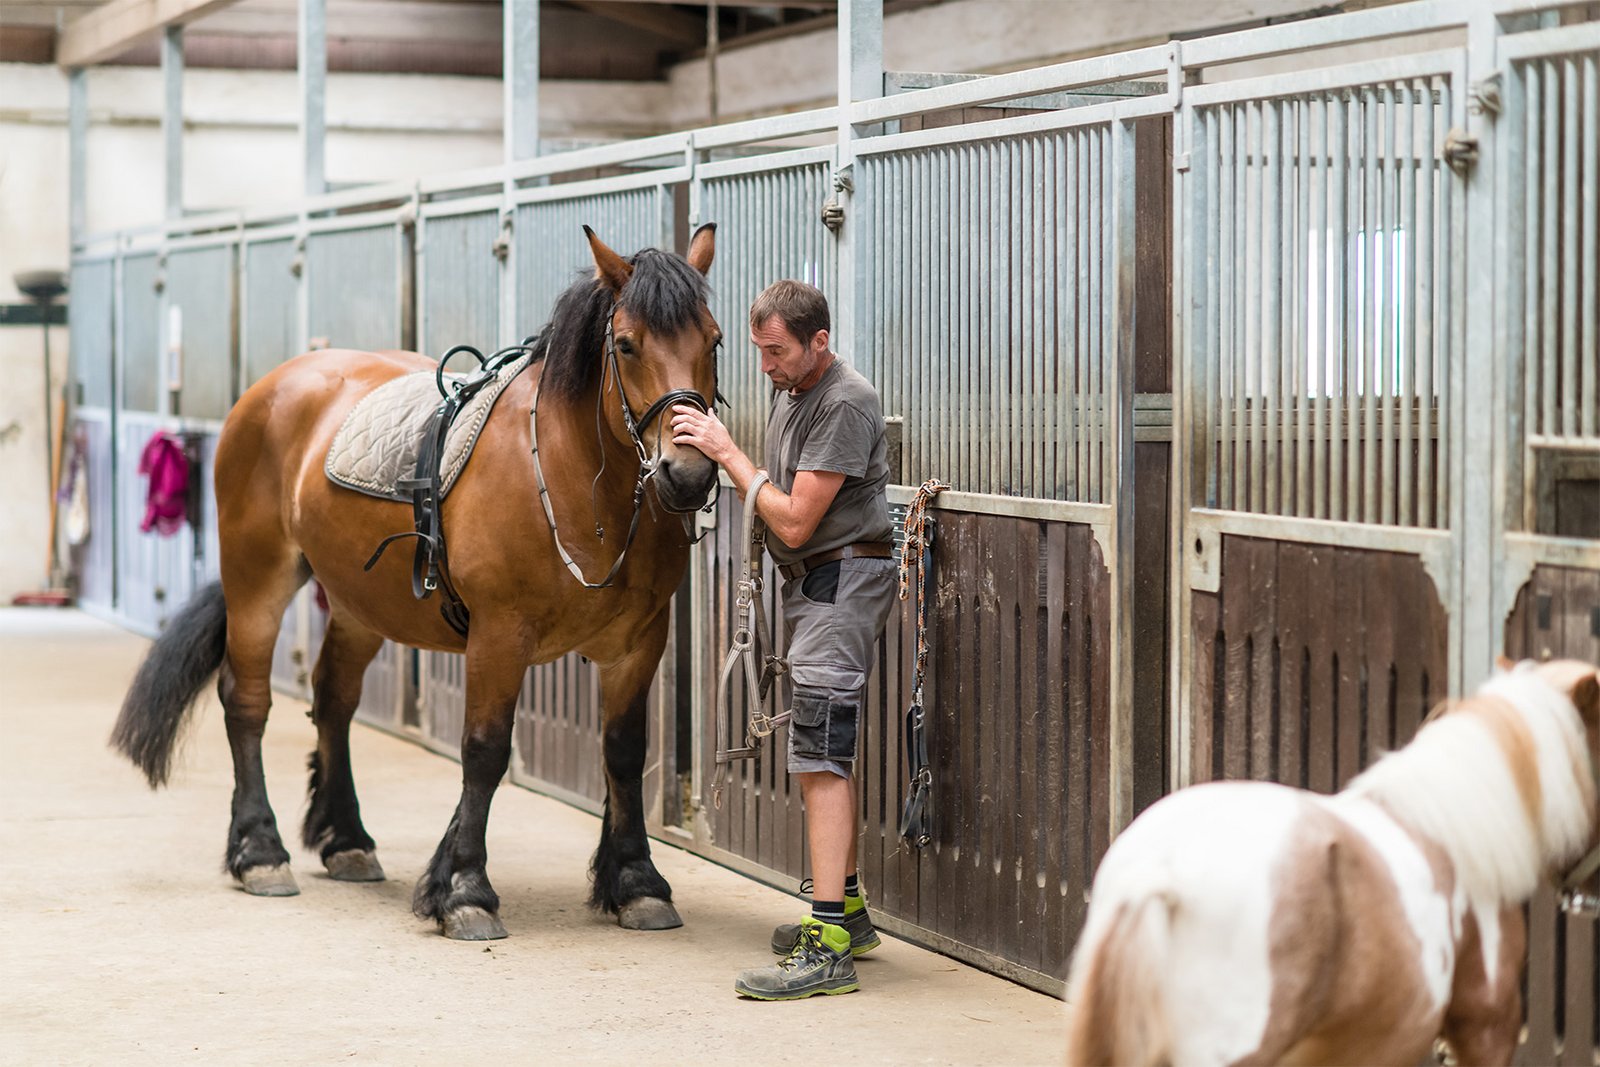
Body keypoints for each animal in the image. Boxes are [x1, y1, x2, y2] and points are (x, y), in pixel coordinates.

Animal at [116, 227, 726, 940]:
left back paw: (346, 839)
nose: (688, 474)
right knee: (247, 702)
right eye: (626, 344)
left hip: (358, 605)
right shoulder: (499, 637)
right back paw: (261, 851)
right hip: (256, 577)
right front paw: (464, 889)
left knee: (334, 700)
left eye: (714, 340)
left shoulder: (639, 642)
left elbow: (624, 753)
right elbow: (484, 752)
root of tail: (274, 385)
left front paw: (635, 882)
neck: (577, 485)